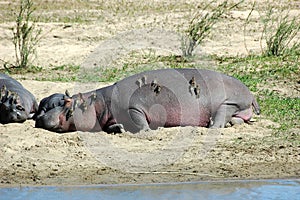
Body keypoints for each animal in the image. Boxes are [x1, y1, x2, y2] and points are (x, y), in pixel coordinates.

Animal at [34, 68, 260, 133]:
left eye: (67, 104)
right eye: (62, 99)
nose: (40, 117)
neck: (99, 104)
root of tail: (250, 92)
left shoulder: (134, 108)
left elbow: (139, 121)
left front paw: (146, 131)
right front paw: (118, 128)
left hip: (229, 102)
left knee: (221, 116)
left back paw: (213, 126)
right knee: (237, 119)